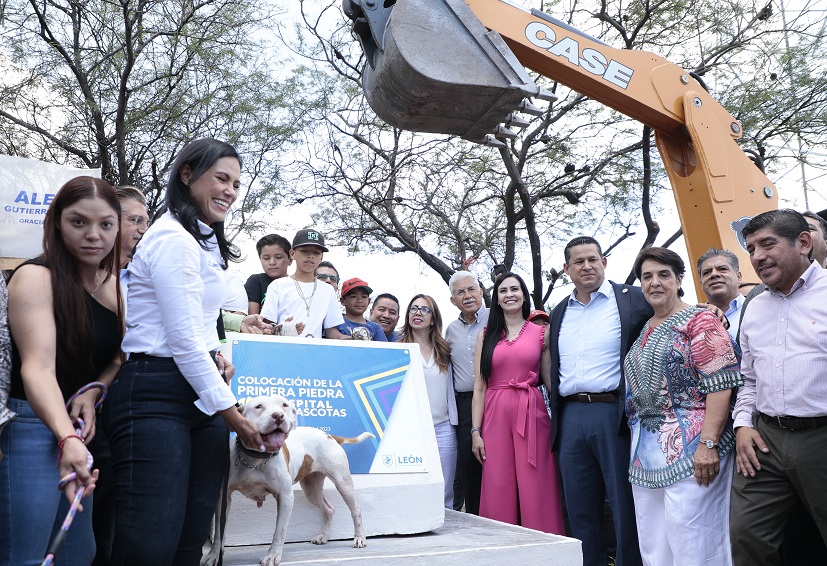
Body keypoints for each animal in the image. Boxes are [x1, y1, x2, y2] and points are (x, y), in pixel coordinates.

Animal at [201, 398, 372, 564]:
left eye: (284, 405)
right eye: (258, 406)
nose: (278, 416)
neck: (256, 458)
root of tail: (330, 436)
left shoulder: (285, 497)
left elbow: (279, 531)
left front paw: (272, 556)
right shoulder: (224, 497)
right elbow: (219, 532)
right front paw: (214, 555)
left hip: (343, 483)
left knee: (356, 510)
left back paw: (359, 538)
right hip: (311, 489)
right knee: (328, 509)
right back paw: (323, 536)